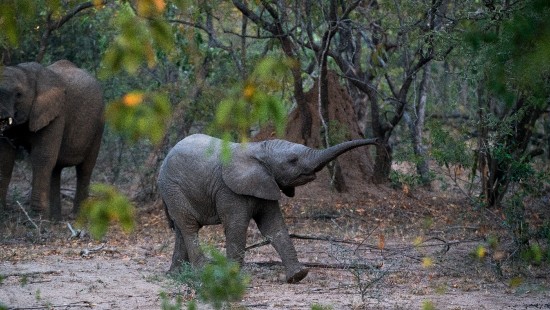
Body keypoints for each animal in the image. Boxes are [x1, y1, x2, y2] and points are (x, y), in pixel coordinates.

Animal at [0, 60, 104, 220]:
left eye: (18, 95)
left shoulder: (57, 113)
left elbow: (42, 157)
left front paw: (37, 219)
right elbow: (6, 157)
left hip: (99, 124)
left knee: (85, 169)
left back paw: (77, 217)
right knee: (56, 169)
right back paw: (55, 218)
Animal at [157, 133, 378, 284]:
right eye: (293, 160)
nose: (377, 141)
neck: (258, 149)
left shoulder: (266, 183)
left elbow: (273, 226)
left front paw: (298, 276)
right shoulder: (228, 189)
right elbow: (237, 226)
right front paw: (232, 279)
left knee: (181, 229)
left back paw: (176, 274)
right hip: (173, 188)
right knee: (189, 226)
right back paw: (203, 272)